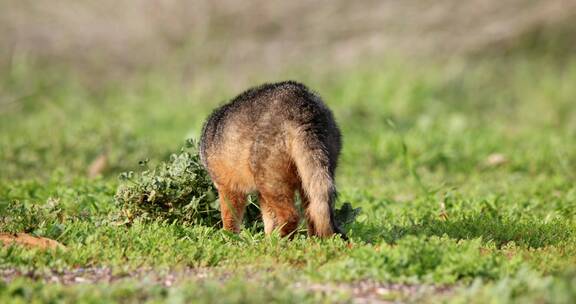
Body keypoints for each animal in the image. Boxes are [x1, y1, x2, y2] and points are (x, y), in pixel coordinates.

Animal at [200, 81, 344, 240]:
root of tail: (299, 101)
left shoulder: (228, 186)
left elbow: (230, 219)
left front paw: (229, 238)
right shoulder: (260, 195)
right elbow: (269, 220)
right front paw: (267, 236)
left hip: (270, 184)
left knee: (291, 216)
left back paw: (279, 241)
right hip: (308, 182)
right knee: (312, 215)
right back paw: (312, 241)